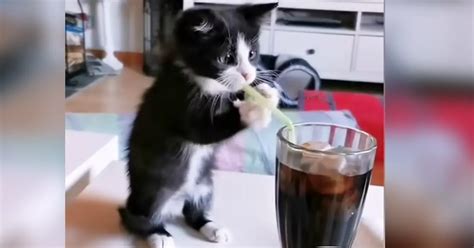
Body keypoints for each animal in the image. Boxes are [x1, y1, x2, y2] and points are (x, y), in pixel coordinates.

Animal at [118, 3, 280, 248]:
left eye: (252, 54)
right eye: (226, 57)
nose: (248, 74)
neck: (207, 83)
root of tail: (176, 201)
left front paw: (265, 93)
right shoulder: (176, 99)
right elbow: (202, 131)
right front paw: (254, 110)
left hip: (204, 185)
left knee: (192, 212)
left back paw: (211, 227)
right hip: (152, 190)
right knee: (139, 216)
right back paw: (158, 234)